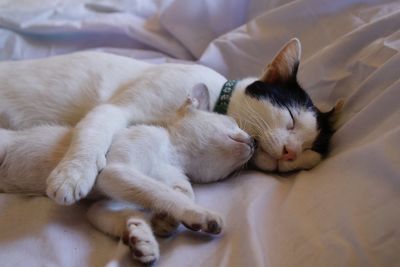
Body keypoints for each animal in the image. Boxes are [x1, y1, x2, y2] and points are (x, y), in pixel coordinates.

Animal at [0, 38, 342, 205]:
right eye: (291, 120)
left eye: (310, 152)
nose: (291, 152)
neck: (215, 96)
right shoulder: (113, 110)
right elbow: (92, 136)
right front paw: (73, 176)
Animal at [0, 85, 255, 264]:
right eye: (231, 121)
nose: (255, 141)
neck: (172, 155)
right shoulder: (114, 171)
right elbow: (161, 192)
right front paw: (199, 214)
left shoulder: (105, 201)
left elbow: (167, 196)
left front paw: (145, 236)